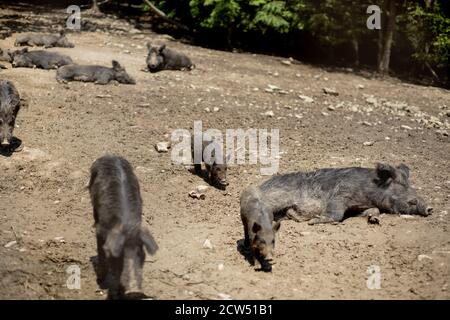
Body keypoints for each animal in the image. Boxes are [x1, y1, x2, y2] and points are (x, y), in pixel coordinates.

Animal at [88, 156, 158, 300]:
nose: (134, 289)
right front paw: (100, 281)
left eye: (141, 255)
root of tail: (110, 155)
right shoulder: (100, 231)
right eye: (120, 256)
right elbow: (101, 252)